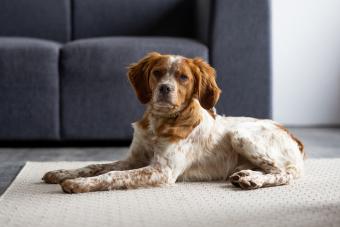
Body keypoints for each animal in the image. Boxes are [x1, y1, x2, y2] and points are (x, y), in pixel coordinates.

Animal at [42, 52, 306, 192]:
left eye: (183, 77)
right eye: (157, 72)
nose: (164, 89)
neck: (158, 124)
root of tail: (294, 137)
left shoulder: (162, 170)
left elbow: (112, 175)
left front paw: (78, 183)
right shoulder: (134, 159)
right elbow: (96, 165)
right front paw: (61, 172)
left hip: (240, 135)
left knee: (286, 173)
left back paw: (253, 179)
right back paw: (245, 175)